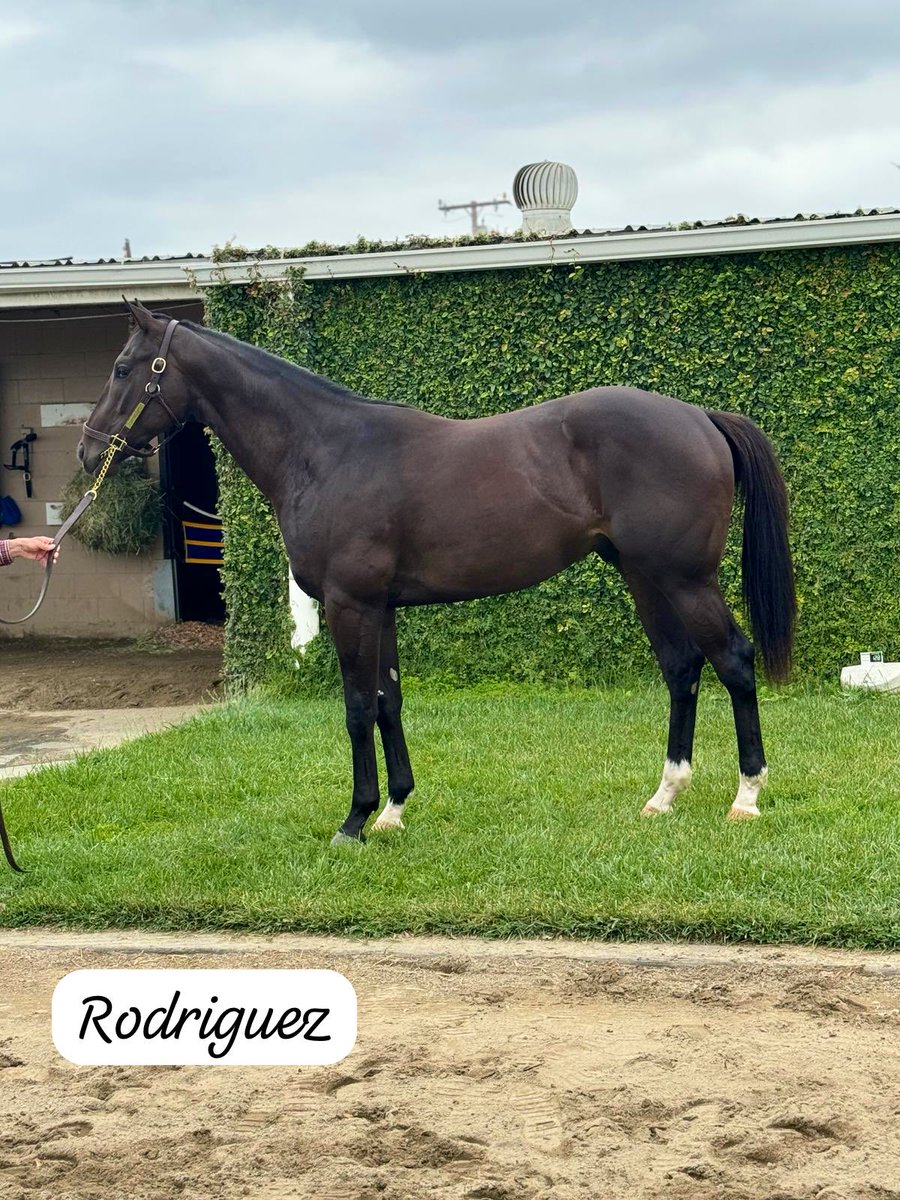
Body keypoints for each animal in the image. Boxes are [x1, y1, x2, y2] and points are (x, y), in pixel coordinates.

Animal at [77, 300, 796, 844]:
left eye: (122, 367)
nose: (89, 451)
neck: (325, 451)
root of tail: (699, 417)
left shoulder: (350, 605)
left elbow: (356, 707)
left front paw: (354, 820)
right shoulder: (381, 608)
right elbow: (389, 701)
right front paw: (394, 810)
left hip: (685, 580)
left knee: (733, 660)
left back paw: (746, 796)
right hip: (644, 577)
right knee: (682, 668)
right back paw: (664, 795)